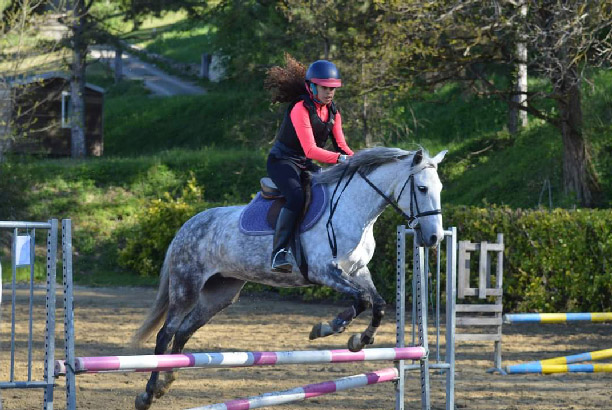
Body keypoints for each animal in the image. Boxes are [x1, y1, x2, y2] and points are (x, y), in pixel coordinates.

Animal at [133, 146, 444, 408]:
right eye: (422, 188)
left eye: (439, 188)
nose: (434, 238)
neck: (354, 209)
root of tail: (188, 225)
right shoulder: (324, 271)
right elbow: (363, 300)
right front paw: (327, 328)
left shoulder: (357, 270)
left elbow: (376, 304)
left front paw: (358, 340)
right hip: (187, 286)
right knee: (166, 333)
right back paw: (148, 394)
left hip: (220, 294)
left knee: (184, 331)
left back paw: (166, 384)